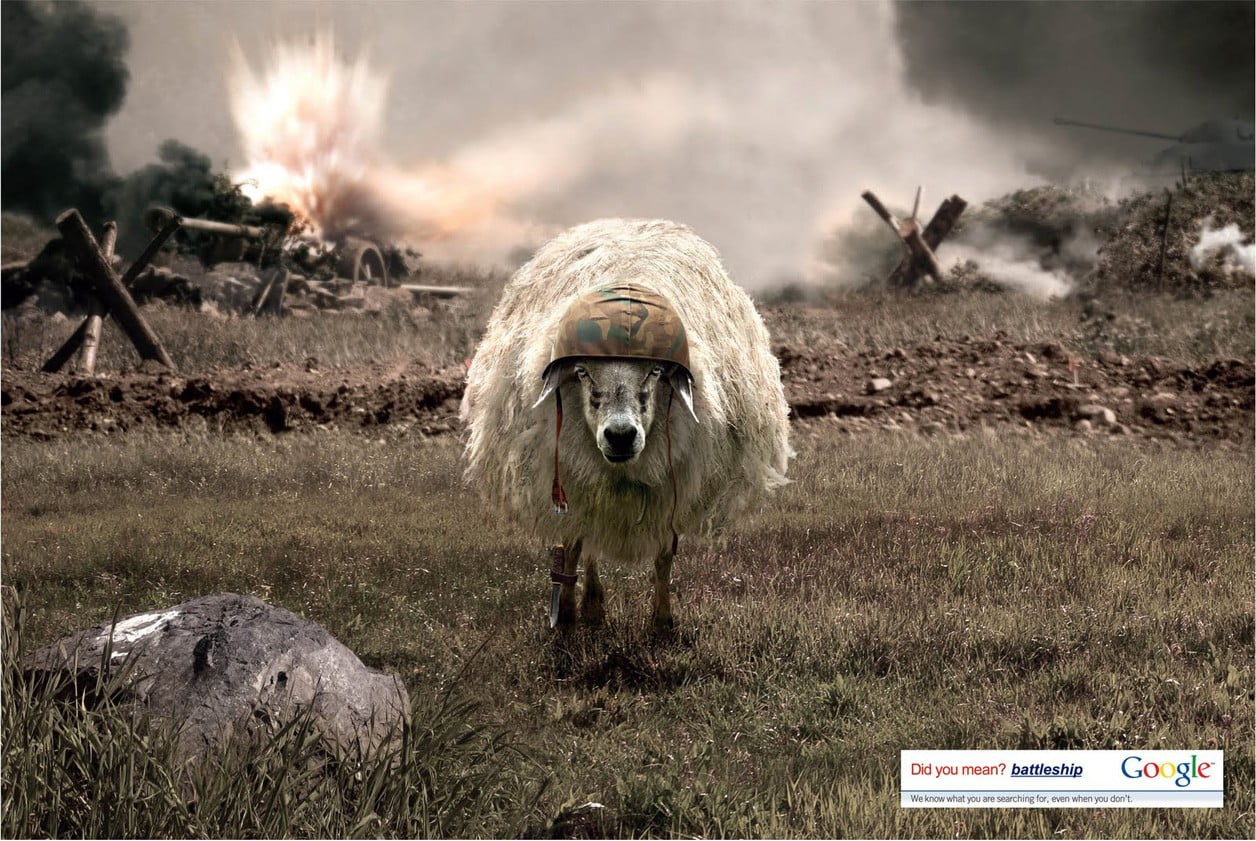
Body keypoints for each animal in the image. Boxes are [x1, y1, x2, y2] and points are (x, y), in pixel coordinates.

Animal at [461, 218, 791, 630]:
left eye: (655, 371)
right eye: (582, 372)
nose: (620, 436)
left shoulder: (672, 484)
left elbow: (664, 557)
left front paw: (662, 622)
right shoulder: (571, 477)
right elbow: (573, 545)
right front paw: (567, 614)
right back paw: (590, 604)